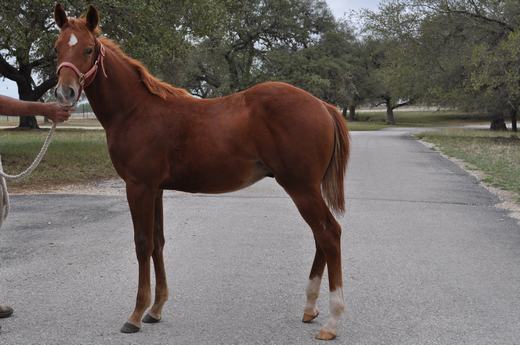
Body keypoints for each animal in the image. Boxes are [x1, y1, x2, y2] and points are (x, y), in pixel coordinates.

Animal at [53, 4, 350, 340]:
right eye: (57, 48)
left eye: (88, 49)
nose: (64, 93)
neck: (135, 111)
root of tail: (323, 105)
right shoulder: (155, 189)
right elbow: (157, 242)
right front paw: (156, 310)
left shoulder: (138, 186)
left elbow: (142, 244)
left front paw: (136, 314)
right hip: (306, 189)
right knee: (320, 236)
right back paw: (310, 308)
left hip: (301, 187)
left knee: (329, 234)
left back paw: (332, 321)